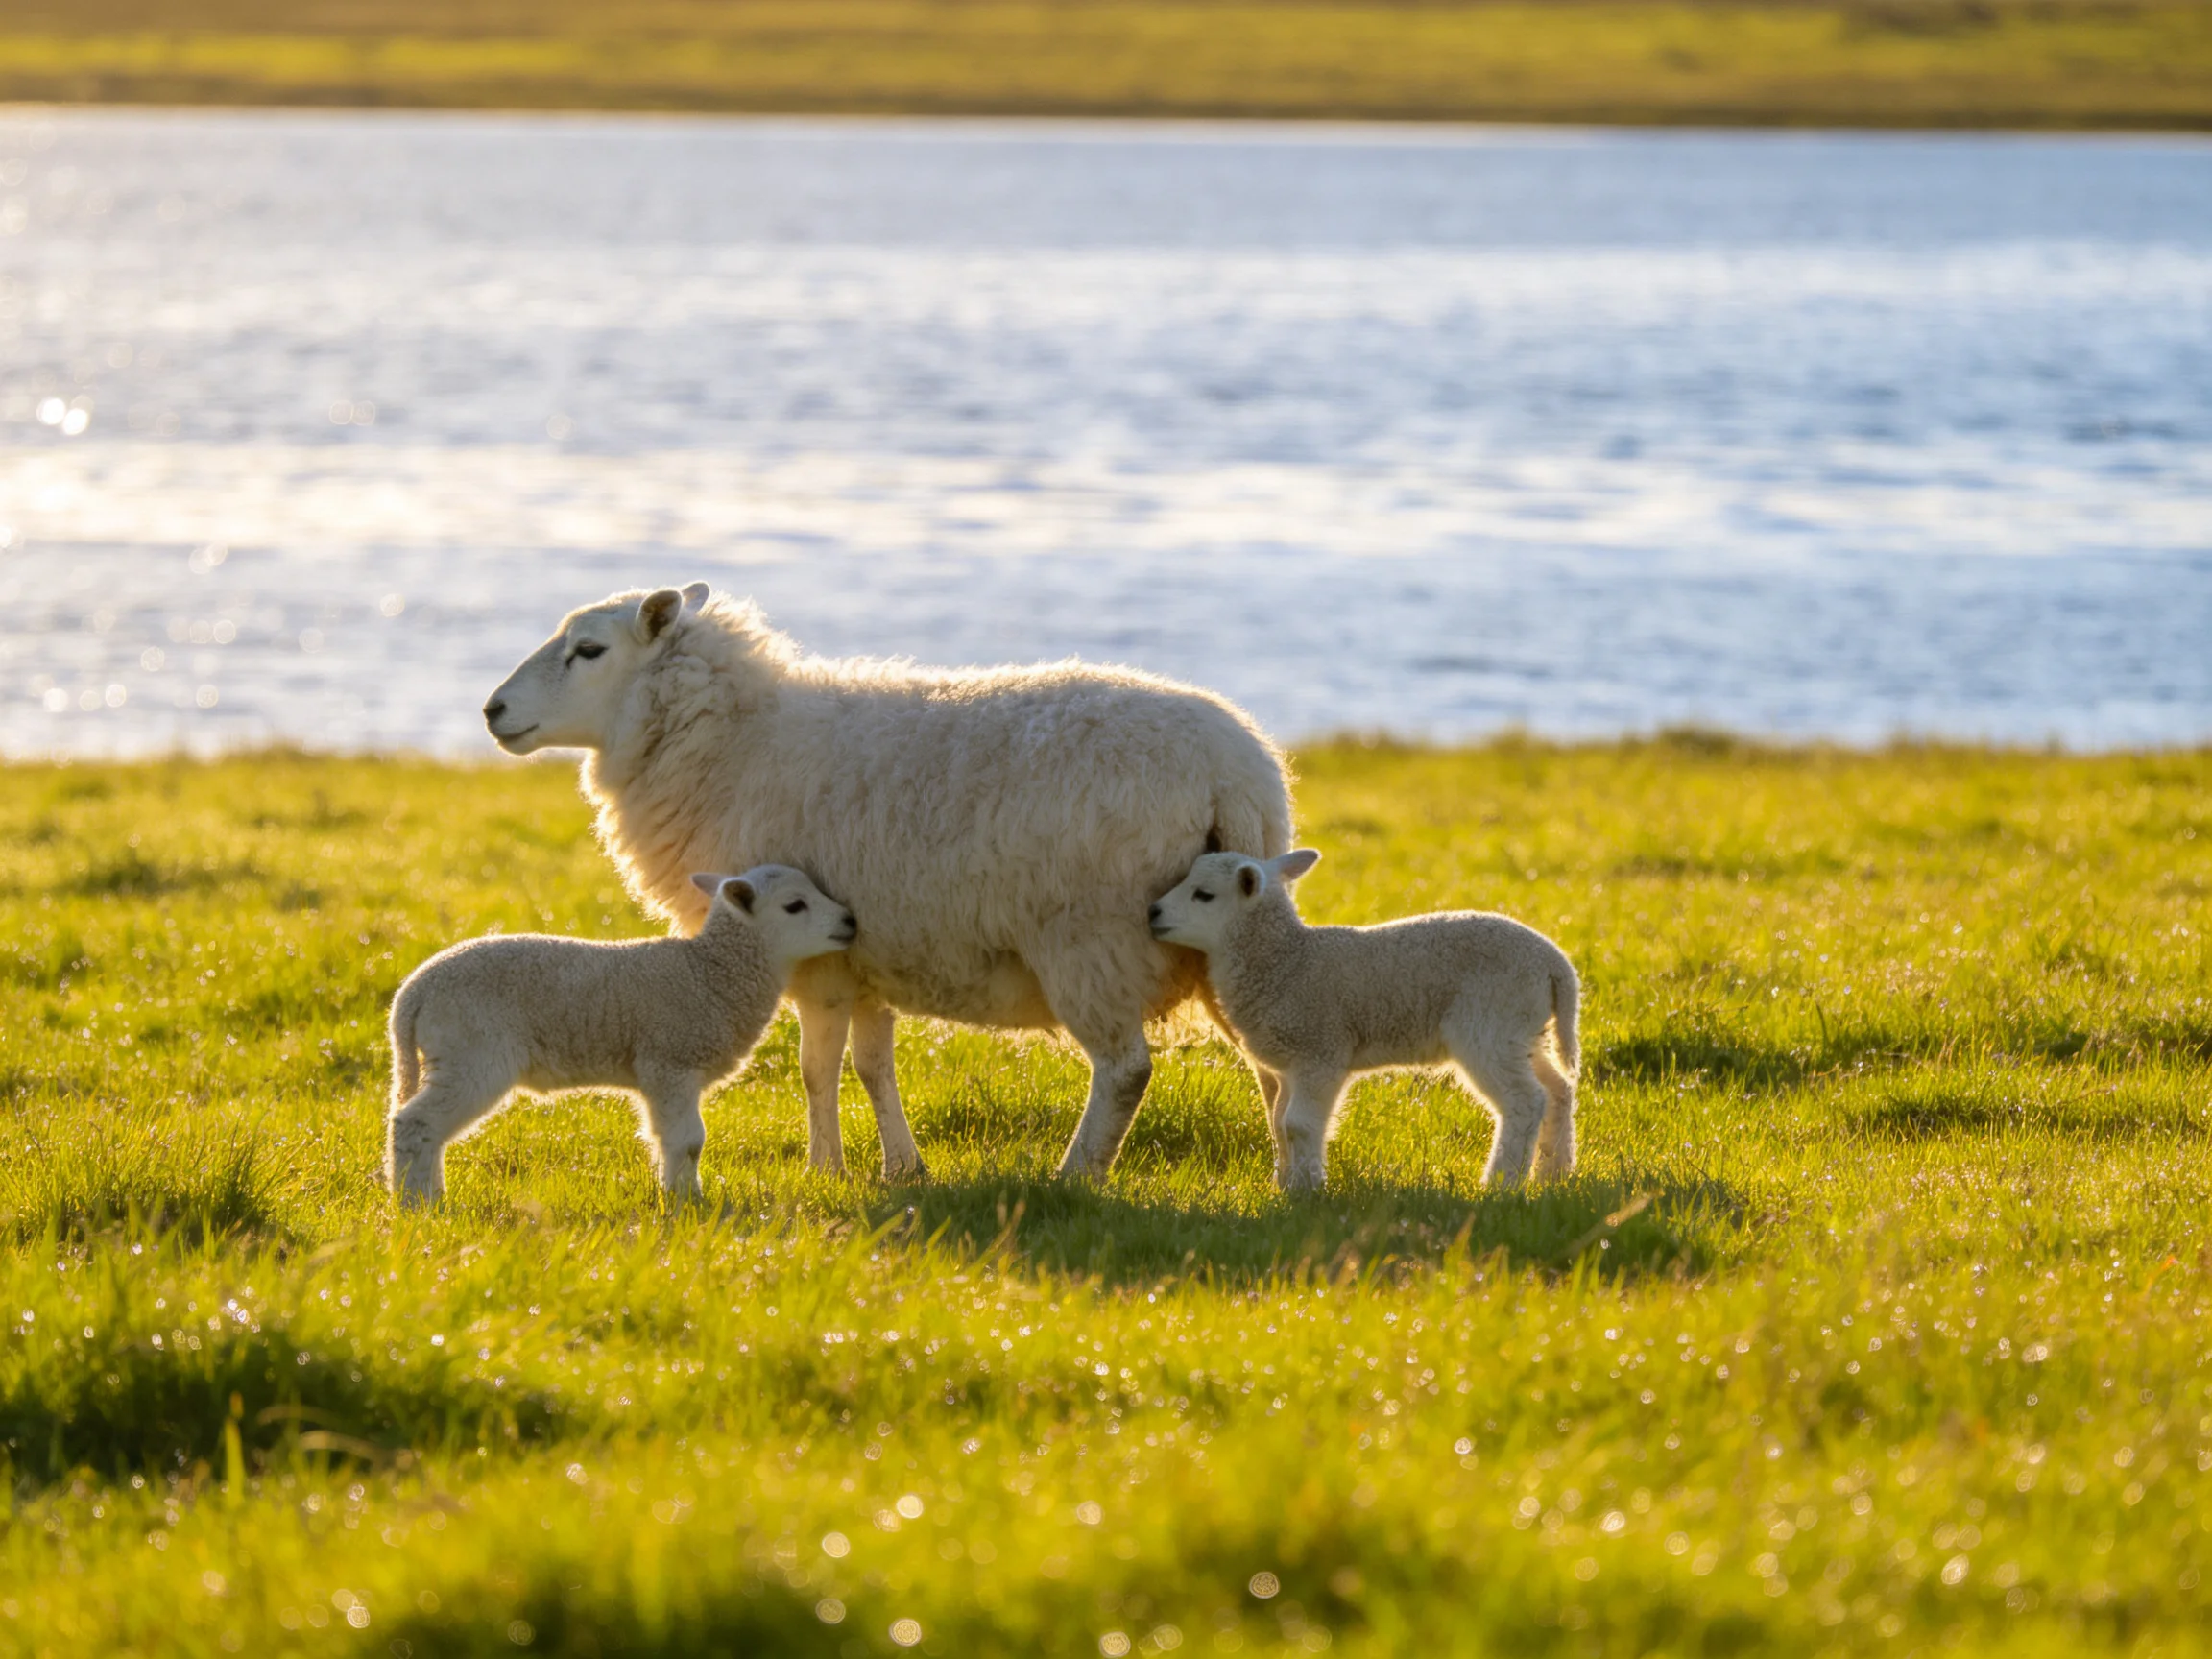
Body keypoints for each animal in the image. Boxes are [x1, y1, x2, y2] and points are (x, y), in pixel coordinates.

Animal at [385, 865, 857, 1205]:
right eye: (795, 905)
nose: (851, 920)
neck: (711, 972)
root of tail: (412, 994)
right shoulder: (670, 1060)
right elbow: (689, 1141)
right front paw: (691, 1204)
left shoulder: (659, 1073)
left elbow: (666, 1138)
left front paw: (675, 1195)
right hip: (473, 1053)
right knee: (414, 1123)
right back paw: (417, 1205)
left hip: (451, 1054)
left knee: (424, 1128)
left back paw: (430, 1195)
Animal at [479, 584, 1292, 1182]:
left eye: (588, 649)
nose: (492, 711)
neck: (734, 740)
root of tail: (1235, 774)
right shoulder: (864, 952)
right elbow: (872, 1067)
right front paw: (903, 1168)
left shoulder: (811, 955)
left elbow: (814, 1070)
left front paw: (823, 1171)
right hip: (1229, 942)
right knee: (1270, 1054)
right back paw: (1292, 1177)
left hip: (1091, 942)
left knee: (1125, 1073)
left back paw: (1075, 1176)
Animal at [1148, 849, 1580, 1192]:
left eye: (1203, 894)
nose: (1152, 911)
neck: (1287, 961)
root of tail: (1556, 965)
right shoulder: (1292, 1064)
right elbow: (1278, 1122)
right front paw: (1286, 1183)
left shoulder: (1321, 1050)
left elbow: (1298, 1124)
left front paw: (1307, 1189)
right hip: (1521, 1031)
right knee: (1557, 1089)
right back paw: (1553, 1173)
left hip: (1490, 1025)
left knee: (1525, 1101)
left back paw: (1502, 1182)